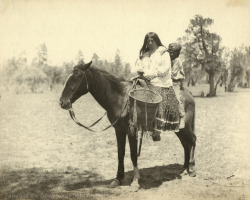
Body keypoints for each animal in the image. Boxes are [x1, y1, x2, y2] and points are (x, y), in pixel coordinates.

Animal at [59, 60, 196, 188]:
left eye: (77, 76)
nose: (62, 102)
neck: (120, 98)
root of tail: (189, 94)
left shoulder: (132, 131)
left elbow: (133, 154)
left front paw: (135, 181)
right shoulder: (119, 130)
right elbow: (121, 153)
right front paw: (118, 179)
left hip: (185, 127)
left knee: (192, 140)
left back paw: (192, 169)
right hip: (179, 129)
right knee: (185, 144)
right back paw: (184, 169)